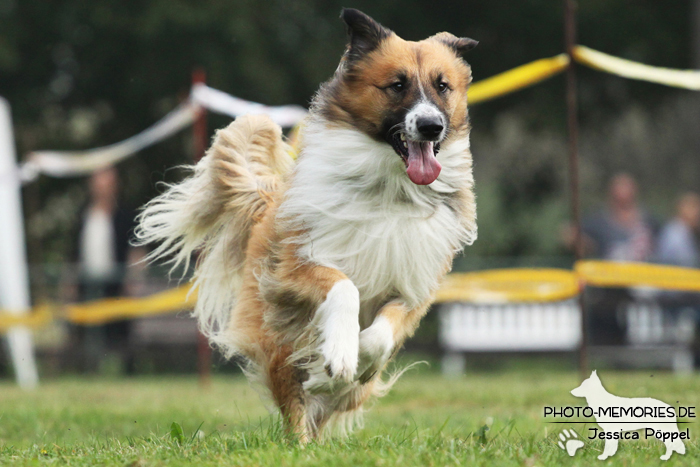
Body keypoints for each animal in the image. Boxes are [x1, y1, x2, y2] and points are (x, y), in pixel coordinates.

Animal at [135, 8, 478, 442]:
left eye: (442, 86)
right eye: (397, 85)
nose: (432, 126)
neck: (389, 188)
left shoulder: (414, 285)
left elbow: (380, 336)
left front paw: (353, 359)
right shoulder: (293, 268)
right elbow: (343, 286)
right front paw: (340, 353)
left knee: (332, 400)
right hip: (281, 337)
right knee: (296, 399)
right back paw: (302, 438)